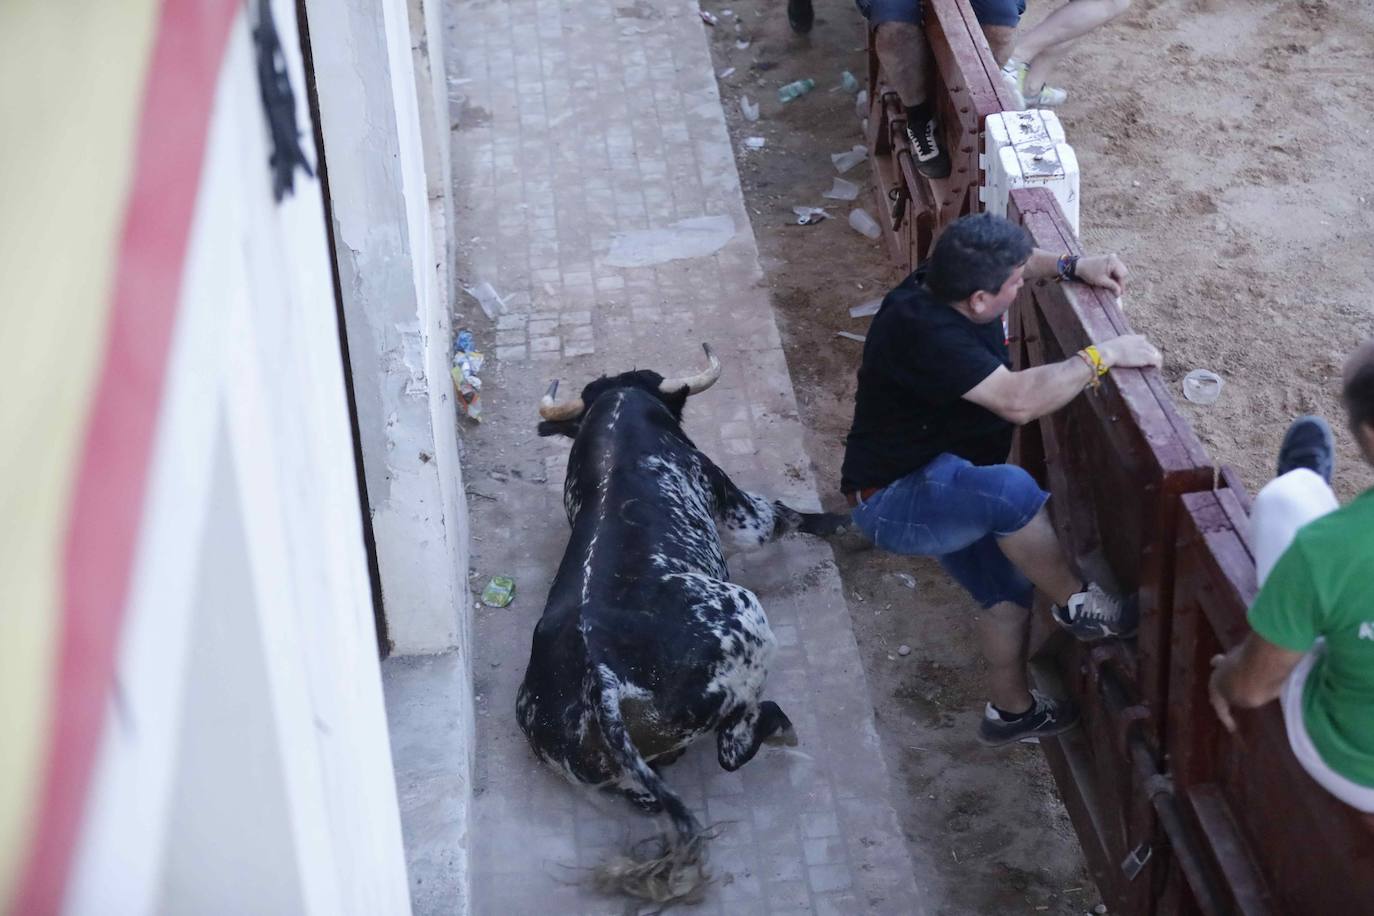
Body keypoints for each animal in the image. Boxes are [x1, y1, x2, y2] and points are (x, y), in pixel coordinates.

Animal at [513, 343, 840, 845]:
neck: (619, 414)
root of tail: (600, 679)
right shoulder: (739, 510)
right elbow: (780, 516)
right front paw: (840, 522)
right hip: (747, 615)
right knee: (733, 745)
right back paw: (779, 725)